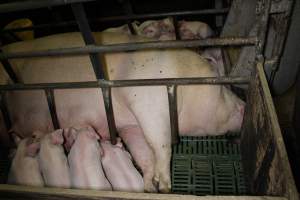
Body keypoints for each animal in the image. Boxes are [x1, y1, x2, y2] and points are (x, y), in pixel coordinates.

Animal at [1, 32, 244, 193]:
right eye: (223, 86)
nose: (243, 105)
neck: (179, 78)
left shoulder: (130, 124)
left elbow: (143, 152)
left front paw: (150, 186)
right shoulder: (149, 99)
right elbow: (161, 144)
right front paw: (165, 186)